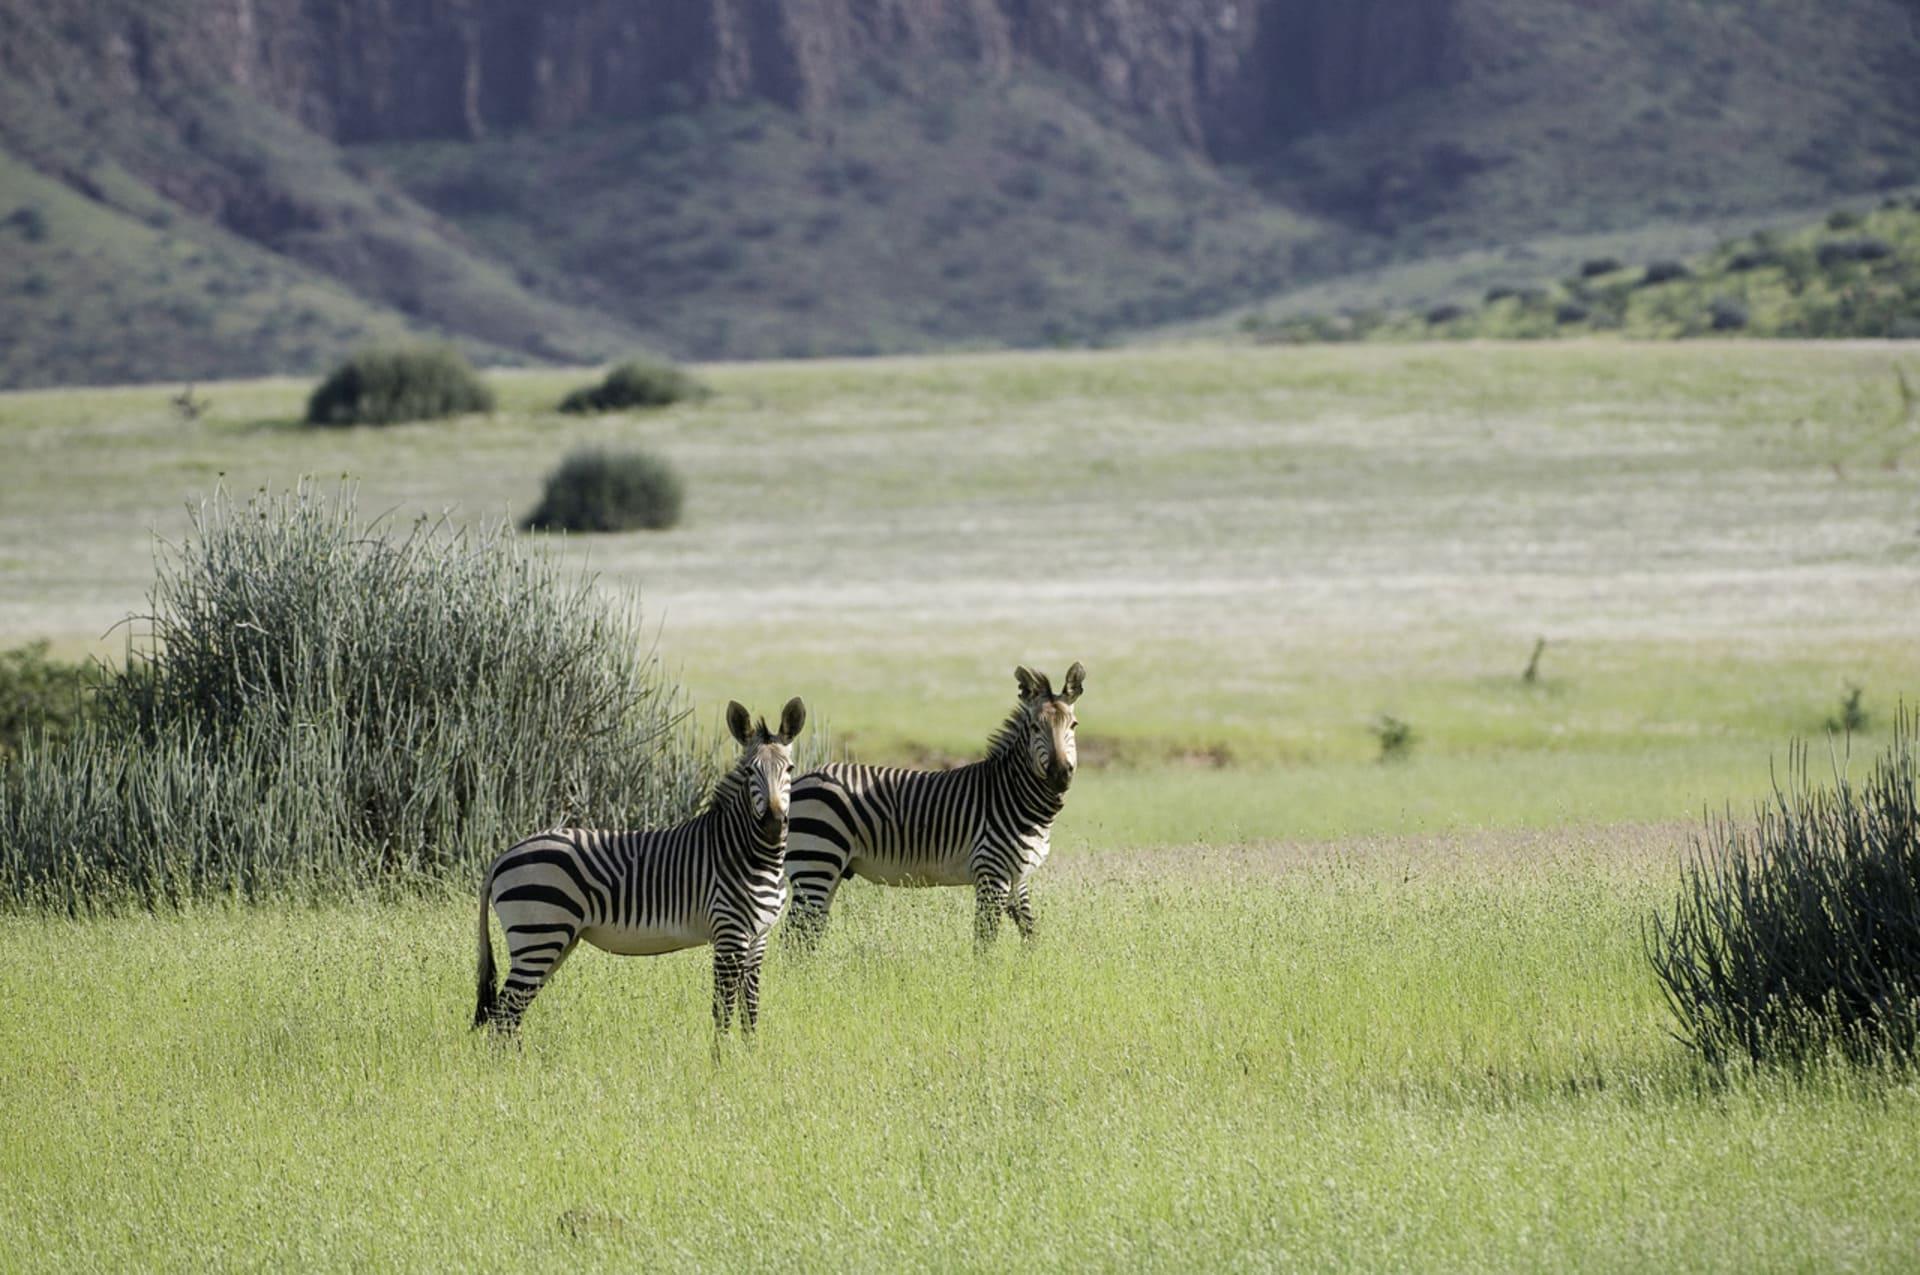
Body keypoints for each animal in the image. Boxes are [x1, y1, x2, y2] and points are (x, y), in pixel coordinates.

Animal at [473, 697, 807, 1036]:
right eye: (751, 771)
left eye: (790, 769)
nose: (773, 825)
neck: (752, 855)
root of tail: (502, 856)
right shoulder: (730, 935)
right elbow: (723, 1013)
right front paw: (723, 1053)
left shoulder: (757, 939)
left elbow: (750, 1013)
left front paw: (750, 1050)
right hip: (538, 936)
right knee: (503, 1016)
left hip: (552, 942)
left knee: (509, 1016)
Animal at [784, 663, 1083, 950]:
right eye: (1034, 727)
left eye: (1074, 725)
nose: (1059, 774)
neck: (1012, 793)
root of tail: (798, 779)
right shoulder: (992, 872)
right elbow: (984, 942)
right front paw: (986, 971)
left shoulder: (1017, 876)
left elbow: (1030, 932)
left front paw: (1031, 965)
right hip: (817, 861)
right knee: (793, 936)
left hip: (829, 869)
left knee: (808, 933)